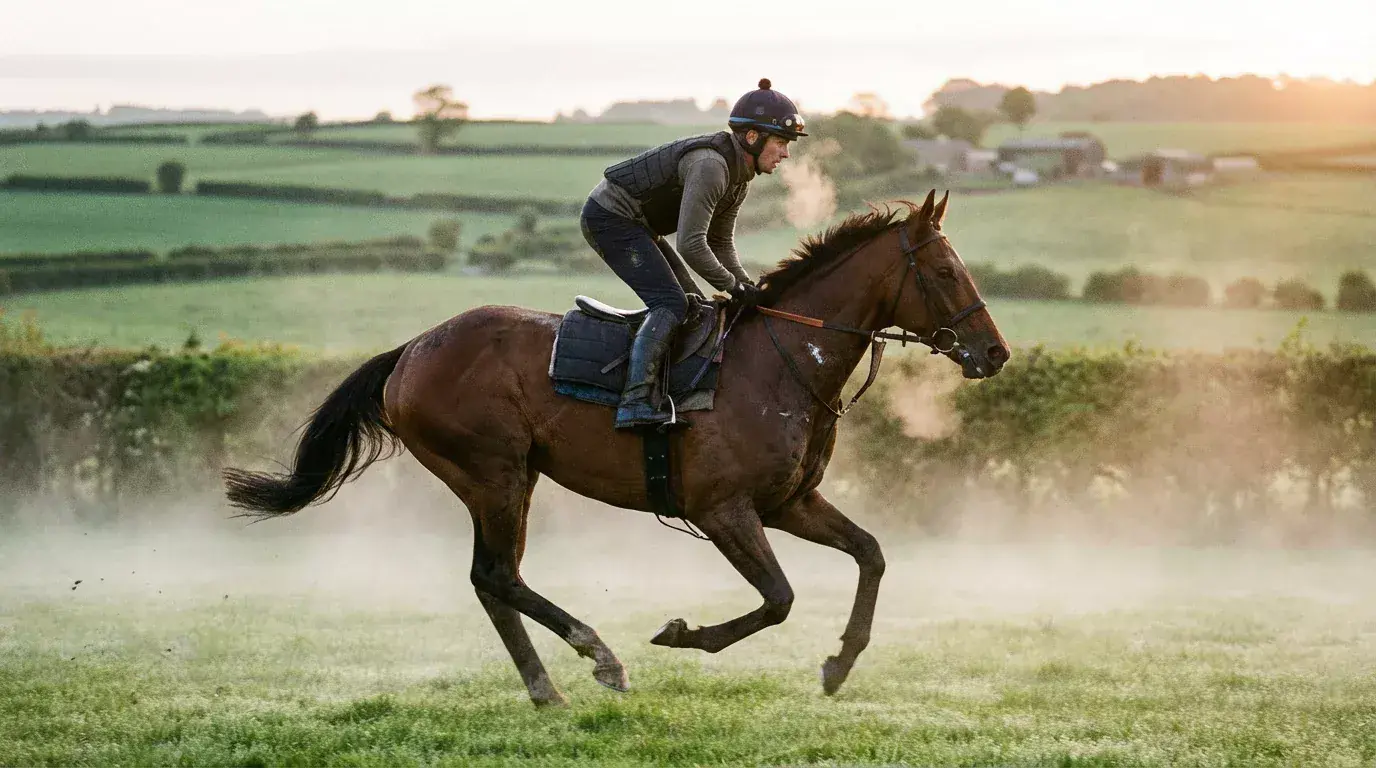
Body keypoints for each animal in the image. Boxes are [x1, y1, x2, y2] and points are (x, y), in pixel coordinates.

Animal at [223, 190, 1010, 707]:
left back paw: (547, 687)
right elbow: (780, 598)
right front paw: (684, 635)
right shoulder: (724, 509)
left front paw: (840, 664)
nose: (995, 353)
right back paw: (597, 657)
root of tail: (411, 351)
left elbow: (870, 554)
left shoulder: (789, 502)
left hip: (509, 478)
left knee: (491, 579)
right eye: (946, 273)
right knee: (496, 575)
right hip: (493, 473)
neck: (785, 360)